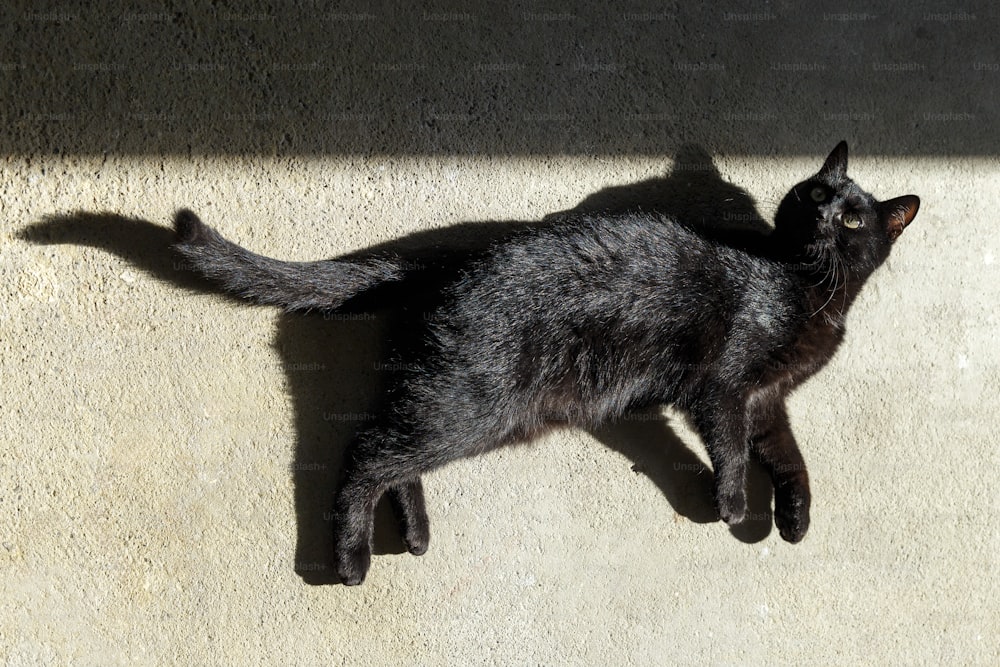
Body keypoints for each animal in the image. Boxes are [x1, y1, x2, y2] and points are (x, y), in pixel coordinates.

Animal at [170, 142, 916, 584]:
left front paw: (793, 521)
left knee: (390, 451)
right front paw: (733, 505)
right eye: (815, 195)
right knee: (365, 452)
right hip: (473, 405)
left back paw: (412, 536)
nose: (823, 216)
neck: (805, 286)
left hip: (451, 400)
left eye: (853, 218)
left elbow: (791, 458)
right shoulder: (725, 388)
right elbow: (731, 447)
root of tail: (440, 261)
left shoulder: (769, 401)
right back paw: (351, 560)